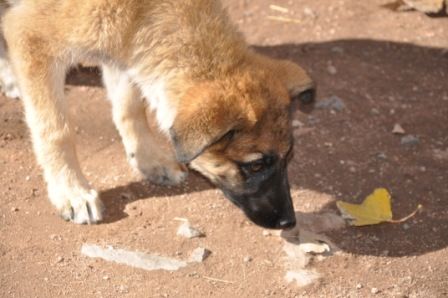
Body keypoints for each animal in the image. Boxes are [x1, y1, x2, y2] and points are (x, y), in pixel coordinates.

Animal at [0, 0, 316, 228]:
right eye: (255, 165)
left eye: (288, 157)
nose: (289, 222)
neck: (143, 10)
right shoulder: (32, 39)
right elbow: (56, 129)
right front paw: (71, 190)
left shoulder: (126, 51)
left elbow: (131, 106)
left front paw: (148, 158)